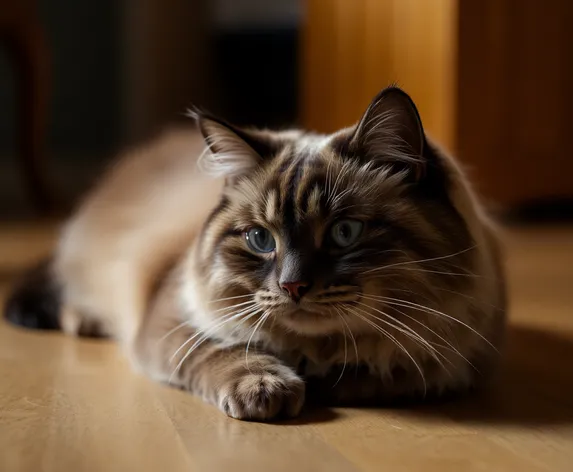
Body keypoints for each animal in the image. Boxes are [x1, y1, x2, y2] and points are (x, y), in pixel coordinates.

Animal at [4, 86, 504, 422]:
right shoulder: (174, 319)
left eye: (344, 233)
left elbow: (366, 375)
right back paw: (84, 321)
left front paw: (320, 381)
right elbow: (225, 349)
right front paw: (267, 387)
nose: (293, 286)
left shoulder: (438, 364)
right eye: (261, 240)